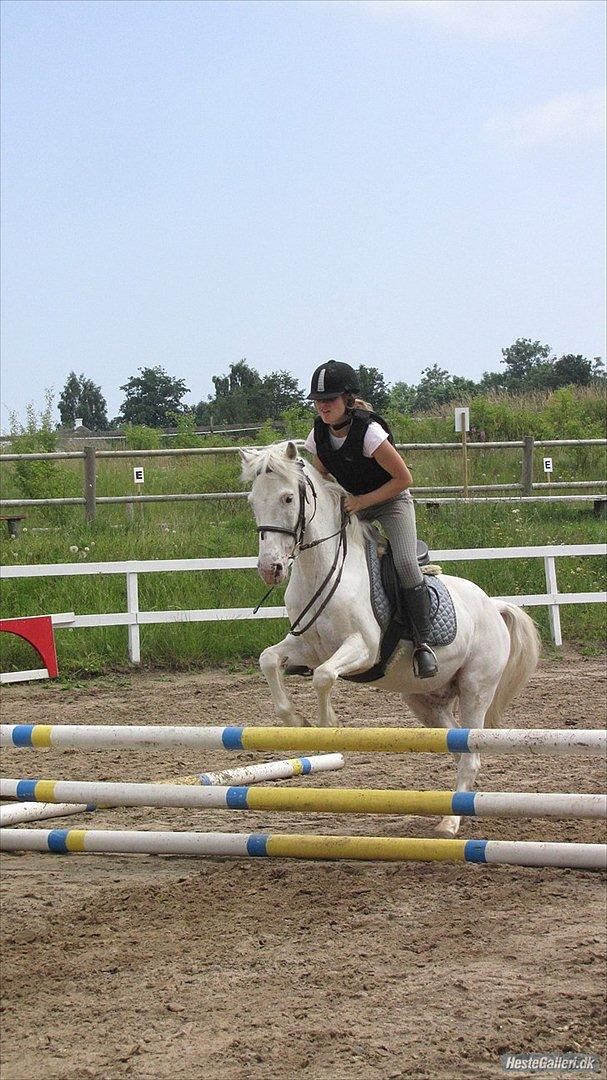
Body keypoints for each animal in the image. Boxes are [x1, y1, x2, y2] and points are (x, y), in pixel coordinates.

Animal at [240, 441, 540, 835]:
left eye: (288, 498)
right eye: (252, 501)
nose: (270, 569)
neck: (322, 569)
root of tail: (494, 605)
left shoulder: (364, 648)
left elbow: (324, 677)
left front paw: (327, 724)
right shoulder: (307, 647)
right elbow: (269, 659)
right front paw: (296, 721)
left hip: (476, 688)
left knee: (470, 754)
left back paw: (449, 823)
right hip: (424, 700)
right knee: (457, 745)